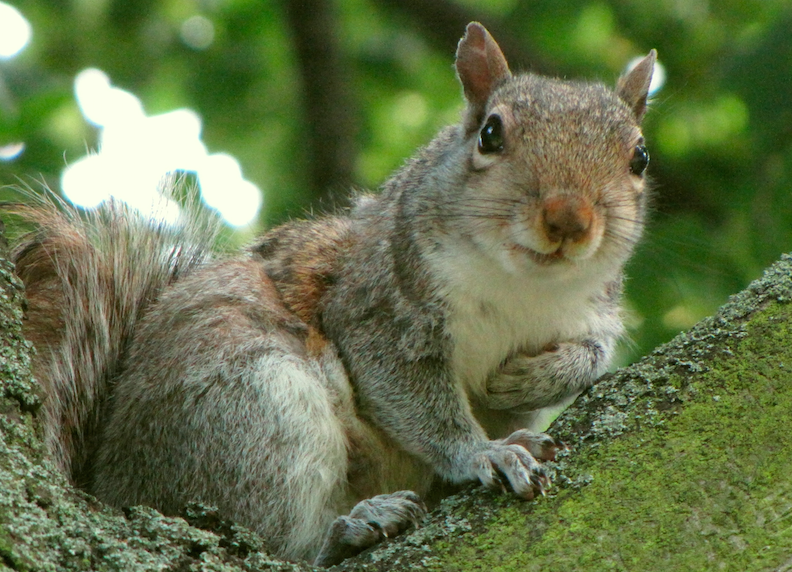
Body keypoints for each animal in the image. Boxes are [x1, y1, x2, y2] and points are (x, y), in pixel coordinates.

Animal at [6, 22, 656, 568]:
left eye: (640, 156)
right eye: (491, 133)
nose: (568, 218)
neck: (522, 285)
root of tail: (111, 483)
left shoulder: (593, 309)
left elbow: (592, 354)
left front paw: (526, 381)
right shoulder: (376, 302)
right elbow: (412, 396)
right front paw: (480, 453)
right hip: (250, 407)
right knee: (278, 536)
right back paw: (352, 527)